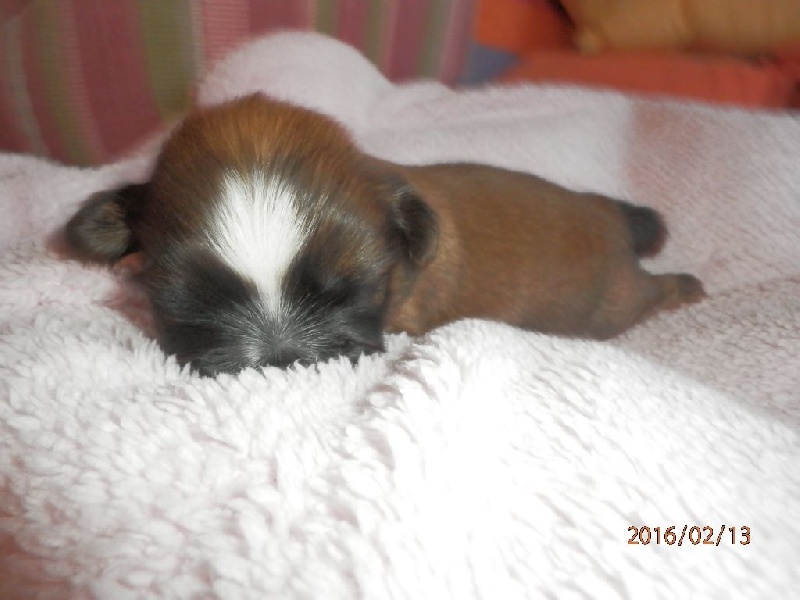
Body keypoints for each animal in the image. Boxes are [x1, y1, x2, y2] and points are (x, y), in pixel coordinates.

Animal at [62, 93, 705, 376]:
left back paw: (684, 285)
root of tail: (614, 224)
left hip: (613, 305)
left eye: (348, 293)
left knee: (650, 292)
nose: (281, 359)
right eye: (190, 304)